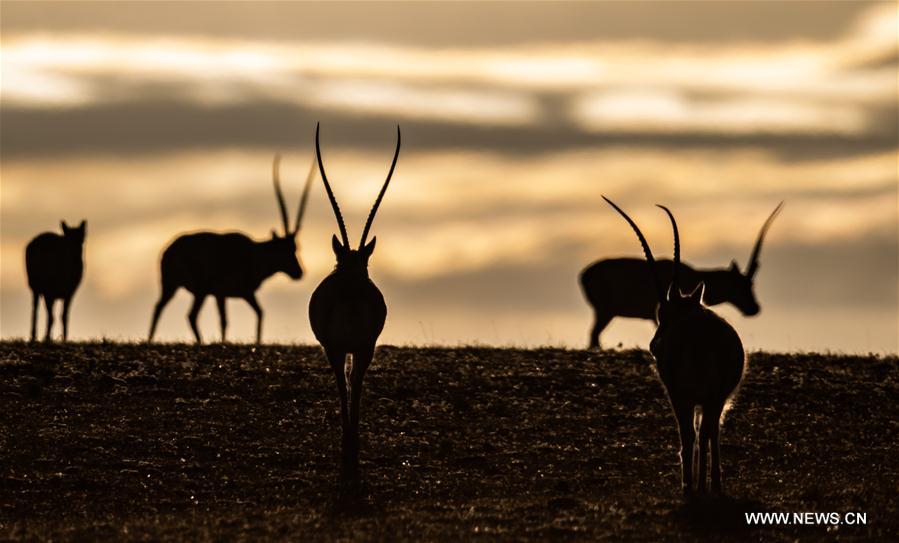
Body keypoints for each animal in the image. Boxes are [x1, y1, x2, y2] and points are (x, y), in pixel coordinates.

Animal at [149, 156, 314, 344]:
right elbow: (255, 314)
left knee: (159, 307)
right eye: (284, 249)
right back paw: (200, 342)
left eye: (296, 247)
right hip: (199, 291)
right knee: (191, 315)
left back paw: (150, 340)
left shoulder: (223, 295)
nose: (298, 273)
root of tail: (169, 251)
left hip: (171, 286)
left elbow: (228, 320)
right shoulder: (242, 293)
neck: (255, 254)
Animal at [312, 122, 402, 480]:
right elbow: (345, 382)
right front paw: (347, 446)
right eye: (341, 264)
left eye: (364, 265)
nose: (351, 289)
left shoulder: (359, 347)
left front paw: (352, 445)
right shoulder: (338, 347)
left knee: (351, 379)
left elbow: (353, 382)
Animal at [584, 203, 780, 348]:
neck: (694, 275)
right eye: (740, 283)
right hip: (604, 312)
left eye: (751, 284)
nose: (754, 308)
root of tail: (585, 274)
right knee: (594, 336)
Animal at [604, 198, 744, 496]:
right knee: (704, 432)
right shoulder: (713, 398)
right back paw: (701, 485)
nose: (653, 346)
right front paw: (714, 482)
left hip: (686, 395)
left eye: (663, 313)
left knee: (694, 433)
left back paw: (691, 486)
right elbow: (710, 431)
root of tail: (700, 339)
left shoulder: (684, 395)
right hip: (706, 397)